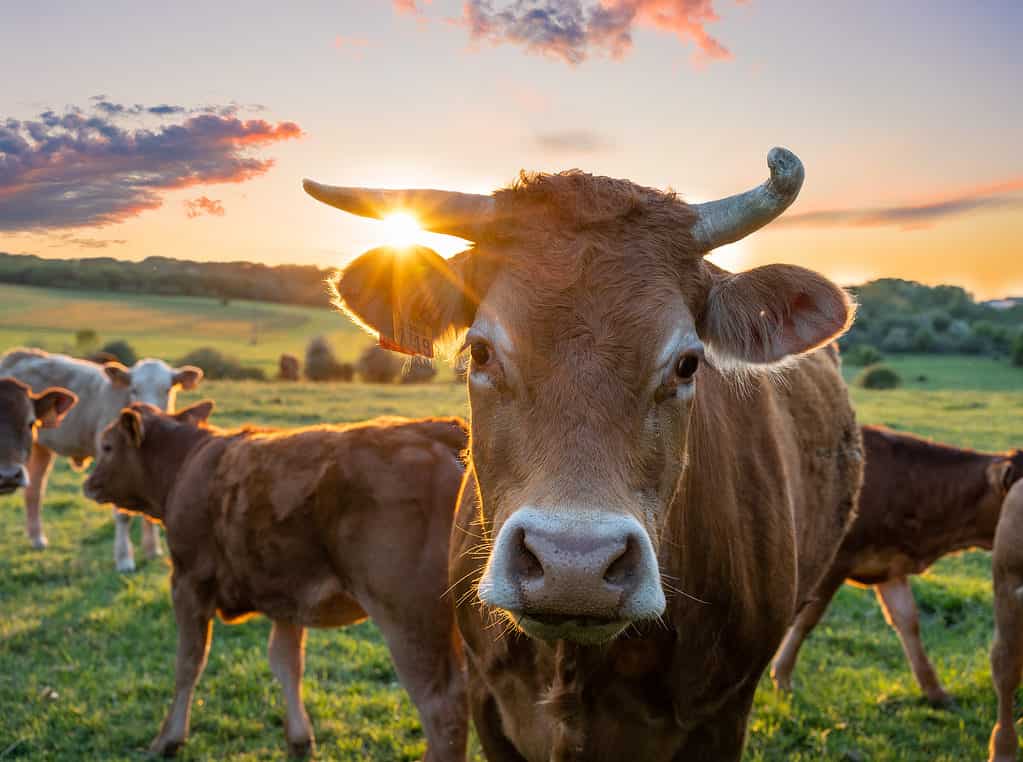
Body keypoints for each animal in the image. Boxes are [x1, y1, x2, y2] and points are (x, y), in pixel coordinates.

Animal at [0, 347, 203, 568]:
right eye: (134, 389)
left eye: (167, 390)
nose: (149, 413)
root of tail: (20, 354)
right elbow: (123, 515)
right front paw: (124, 559)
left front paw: (152, 550)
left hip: (40, 448)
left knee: (34, 491)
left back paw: (37, 538)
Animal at [83, 400, 468, 756]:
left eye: (107, 446)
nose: (88, 482)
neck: (187, 463)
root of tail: (437, 430)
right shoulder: (288, 594)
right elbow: (286, 662)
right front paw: (299, 738)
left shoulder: (188, 582)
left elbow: (188, 662)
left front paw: (169, 739)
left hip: (410, 622)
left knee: (444, 712)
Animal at [773, 421, 1023, 699]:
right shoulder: (836, 562)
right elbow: (807, 619)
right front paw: (782, 677)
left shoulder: (890, 564)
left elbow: (908, 622)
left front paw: (935, 691)